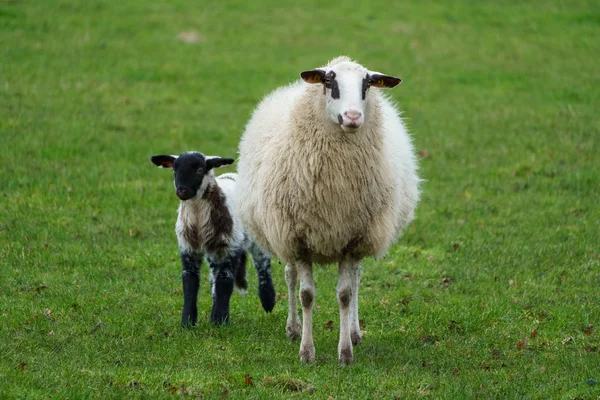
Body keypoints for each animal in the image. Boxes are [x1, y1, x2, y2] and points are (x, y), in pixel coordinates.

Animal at [152, 152, 278, 326]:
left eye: (199, 170)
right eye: (175, 169)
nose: (182, 191)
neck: (198, 218)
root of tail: (232, 175)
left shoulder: (230, 246)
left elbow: (225, 280)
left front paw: (220, 321)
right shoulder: (188, 247)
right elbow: (190, 280)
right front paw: (188, 322)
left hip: (253, 236)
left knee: (262, 264)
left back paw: (268, 301)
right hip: (213, 251)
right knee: (214, 278)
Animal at [237, 56, 420, 366]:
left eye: (368, 84)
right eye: (328, 81)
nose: (353, 117)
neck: (336, 187)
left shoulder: (353, 239)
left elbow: (345, 294)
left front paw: (345, 353)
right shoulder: (297, 239)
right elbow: (306, 295)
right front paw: (306, 352)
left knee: (355, 281)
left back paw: (355, 332)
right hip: (282, 234)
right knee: (289, 276)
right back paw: (293, 328)